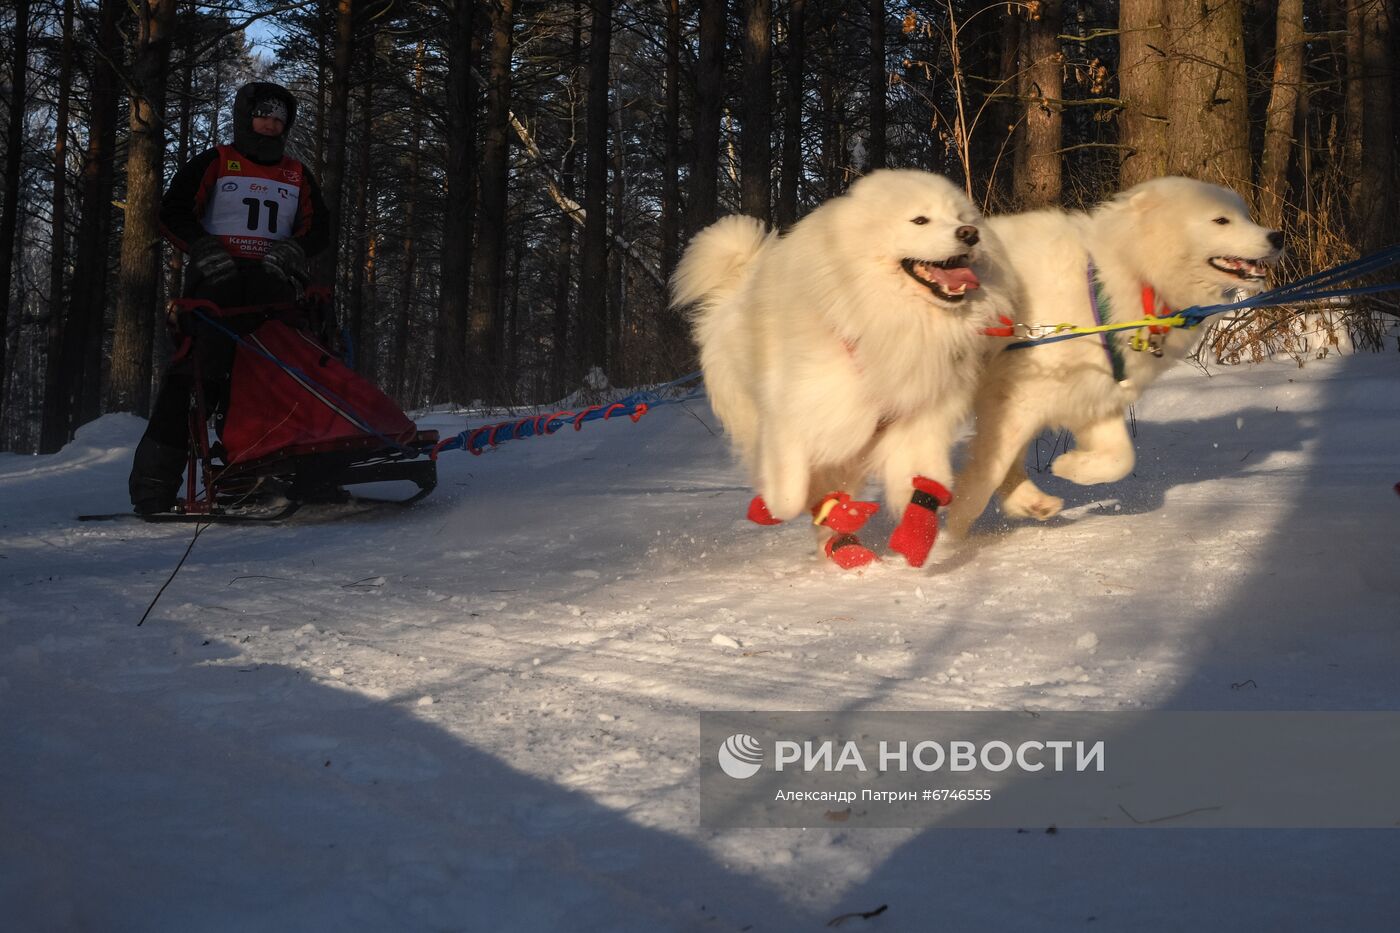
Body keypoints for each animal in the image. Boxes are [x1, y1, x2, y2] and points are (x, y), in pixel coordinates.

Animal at [674, 170, 1019, 571]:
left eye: (962, 217)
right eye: (920, 220)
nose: (970, 233)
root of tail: (735, 286)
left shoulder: (920, 421)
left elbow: (927, 484)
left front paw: (915, 537)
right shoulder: (792, 419)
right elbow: (790, 496)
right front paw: (770, 506)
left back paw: (845, 544)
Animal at [940, 176, 1282, 537]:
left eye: (1245, 216)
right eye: (1221, 220)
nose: (1277, 237)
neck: (1126, 276)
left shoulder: (1095, 395)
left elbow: (1120, 459)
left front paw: (1068, 468)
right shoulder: (1016, 396)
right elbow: (991, 467)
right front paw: (958, 525)